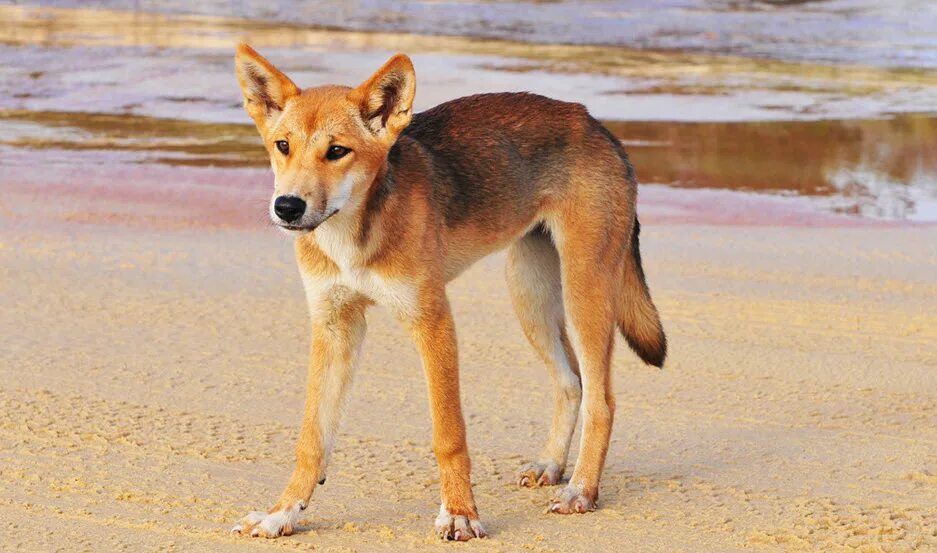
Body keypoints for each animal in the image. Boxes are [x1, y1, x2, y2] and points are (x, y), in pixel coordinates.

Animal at [227, 45, 664, 540]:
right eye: (282, 146)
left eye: (337, 152)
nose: (287, 207)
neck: (353, 236)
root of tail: (595, 124)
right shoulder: (334, 327)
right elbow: (311, 440)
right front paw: (283, 512)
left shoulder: (432, 322)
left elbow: (448, 435)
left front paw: (459, 512)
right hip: (530, 296)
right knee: (571, 382)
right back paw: (552, 465)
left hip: (584, 290)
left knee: (600, 400)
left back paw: (582, 490)